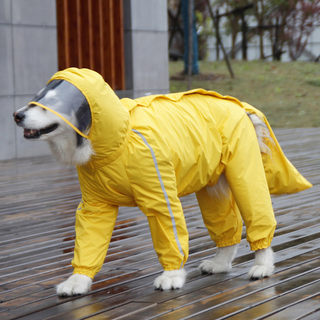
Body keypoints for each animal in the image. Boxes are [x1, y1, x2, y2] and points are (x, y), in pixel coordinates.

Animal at [13, 67, 312, 296]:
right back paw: (219, 263)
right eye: (34, 99)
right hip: (212, 183)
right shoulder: (94, 206)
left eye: (49, 103)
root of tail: (237, 104)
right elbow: (88, 240)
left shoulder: (160, 196)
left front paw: (172, 276)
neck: (116, 144)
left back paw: (262, 266)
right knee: (227, 226)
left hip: (244, 173)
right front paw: (78, 280)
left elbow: (170, 234)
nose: (17, 115)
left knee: (257, 216)